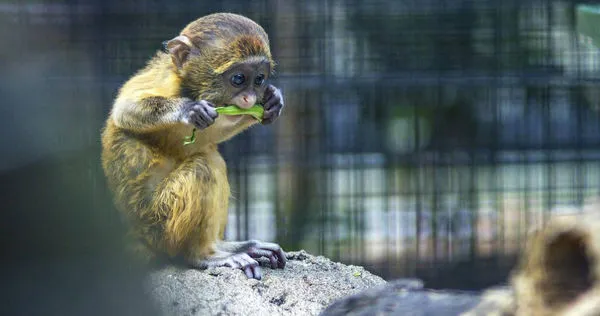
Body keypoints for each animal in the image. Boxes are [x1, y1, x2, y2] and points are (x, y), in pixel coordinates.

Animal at [101, 12, 286, 278]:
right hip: (160, 226)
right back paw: (202, 255)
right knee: (204, 167)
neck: (191, 89)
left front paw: (272, 101)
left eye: (259, 79)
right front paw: (189, 110)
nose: (250, 98)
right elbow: (124, 110)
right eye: (238, 79)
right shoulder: (165, 81)